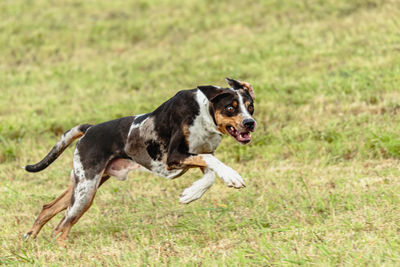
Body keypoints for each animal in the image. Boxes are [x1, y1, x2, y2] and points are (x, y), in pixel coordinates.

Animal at [23, 77, 256, 245]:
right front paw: (232, 176)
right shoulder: (175, 157)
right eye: (230, 108)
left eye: (250, 106)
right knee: (61, 227)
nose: (250, 123)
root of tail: (89, 129)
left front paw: (191, 194)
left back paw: (29, 236)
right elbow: (211, 164)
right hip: (85, 191)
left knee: (48, 208)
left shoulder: (199, 154)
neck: (204, 114)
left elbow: (209, 175)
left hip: (85, 184)